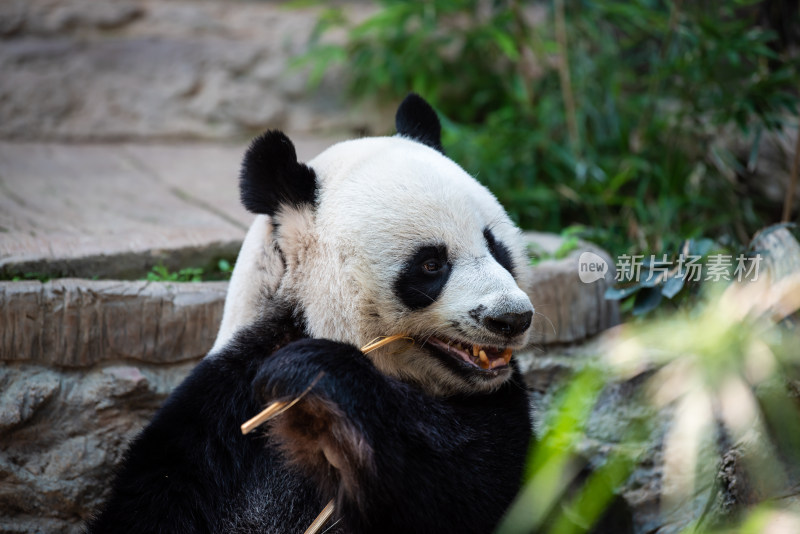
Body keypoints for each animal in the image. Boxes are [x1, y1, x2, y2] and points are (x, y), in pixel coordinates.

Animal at [87, 96, 536, 534]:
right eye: (430, 264)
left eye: (497, 248)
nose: (510, 318)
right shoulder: (222, 414)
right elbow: (157, 493)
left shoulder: (495, 406)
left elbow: (472, 488)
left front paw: (316, 370)